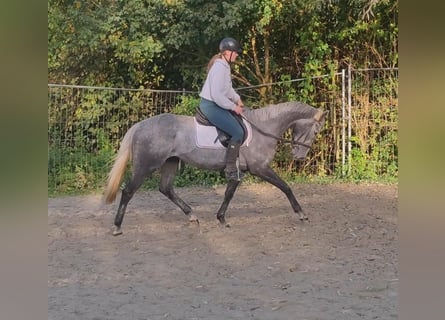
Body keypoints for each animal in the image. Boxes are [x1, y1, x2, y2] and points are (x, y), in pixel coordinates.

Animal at [103, 101, 326, 236]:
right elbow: (286, 187)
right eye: (316, 131)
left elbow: (229, 193)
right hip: (146, 166)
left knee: (166, 188)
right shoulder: (260, 168)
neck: (263, 129)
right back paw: (116, 226)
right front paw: (301, 214)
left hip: (170, 162)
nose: (299, 156)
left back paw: (192, 216)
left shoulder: (239, 171)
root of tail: (140, 125)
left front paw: (221, 219)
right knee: (128, 191)